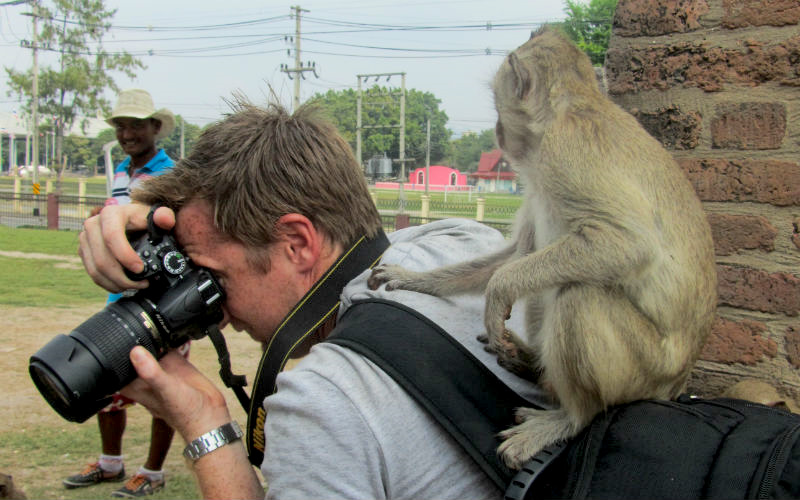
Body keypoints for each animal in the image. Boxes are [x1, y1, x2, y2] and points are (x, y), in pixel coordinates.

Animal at [368, 26, 720, 468]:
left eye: (501, 106)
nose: (498, 132)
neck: (573, 105)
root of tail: (675, 386)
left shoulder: (564, 155)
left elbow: (628, 243)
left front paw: (499, 291)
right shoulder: (537, 180)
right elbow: (516, 255)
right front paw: (416, 279)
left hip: (643, 370)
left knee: (580, 294)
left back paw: (571, 416)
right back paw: (533, 364)